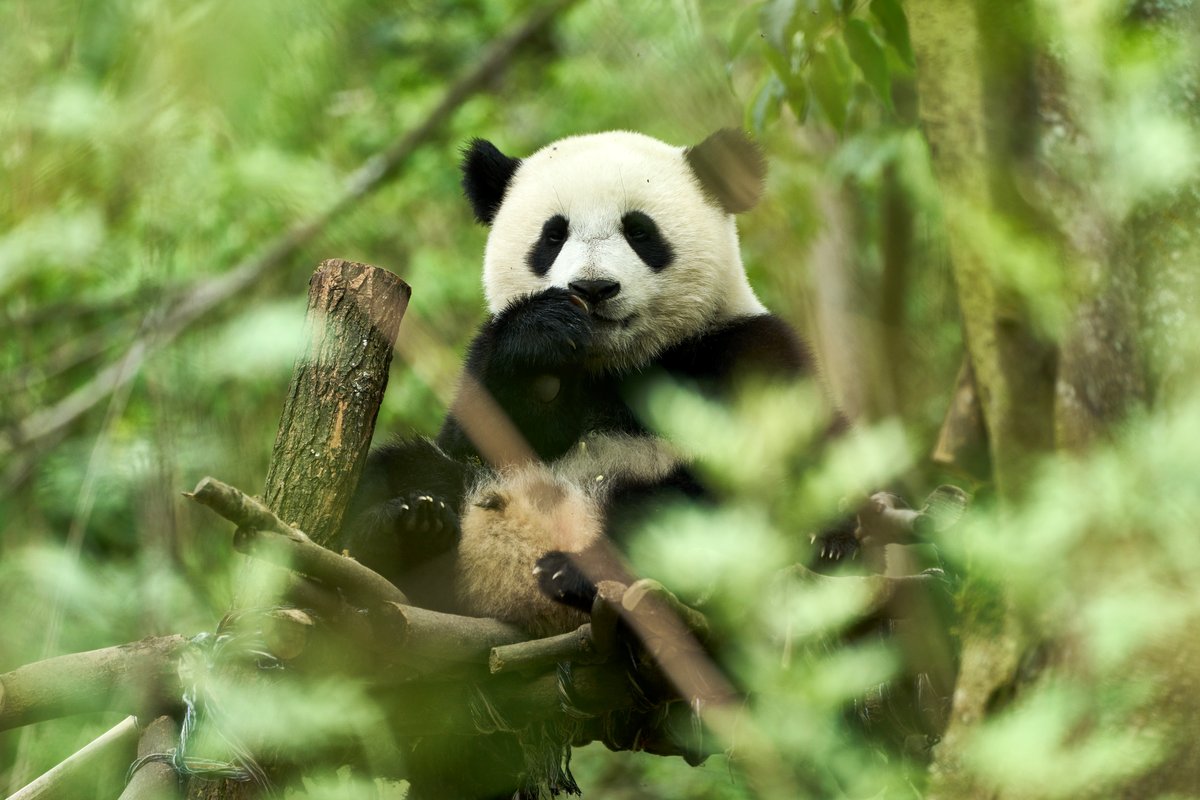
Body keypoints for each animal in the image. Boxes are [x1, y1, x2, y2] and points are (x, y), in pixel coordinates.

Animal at [340, 129, 832, 628]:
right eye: (553, 235)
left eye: (639, 231)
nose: (593, 288)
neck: (617, 362)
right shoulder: (485, 361)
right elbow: (478, 435)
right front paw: (543, 334)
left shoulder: (743, 347)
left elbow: (769, 456)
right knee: (402, 468)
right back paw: (407, 526)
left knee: (676, 505)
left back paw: (573, 572)